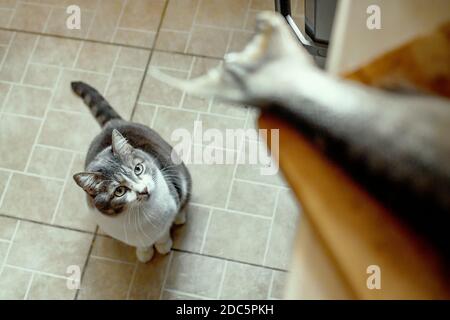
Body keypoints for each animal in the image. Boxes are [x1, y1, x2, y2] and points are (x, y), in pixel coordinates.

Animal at [71, 82, 192, 262]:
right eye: (119, 191)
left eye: (138, 169)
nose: (144, 190)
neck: (141, 214)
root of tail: (111, 123)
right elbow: (141, 243)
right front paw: (145, 253)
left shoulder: (169, 204)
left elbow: (163, 233)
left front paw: (163, 246)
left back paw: (180, 217)